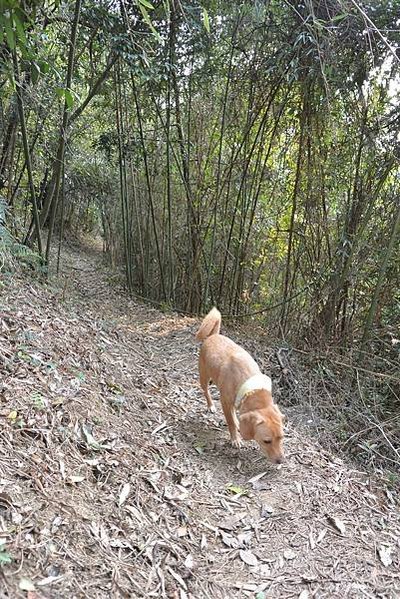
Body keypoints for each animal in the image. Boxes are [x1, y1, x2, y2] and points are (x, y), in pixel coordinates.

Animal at [195, 310, 282, 464]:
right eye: (267, 441)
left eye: (281, 438)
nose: (281, 461)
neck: (251, 389)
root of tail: (213, 336)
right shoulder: (224, 401)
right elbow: (230, 422)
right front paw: (235, 439)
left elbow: (233, 417)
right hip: (204, 378)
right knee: (206, 392)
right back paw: (211, 405)